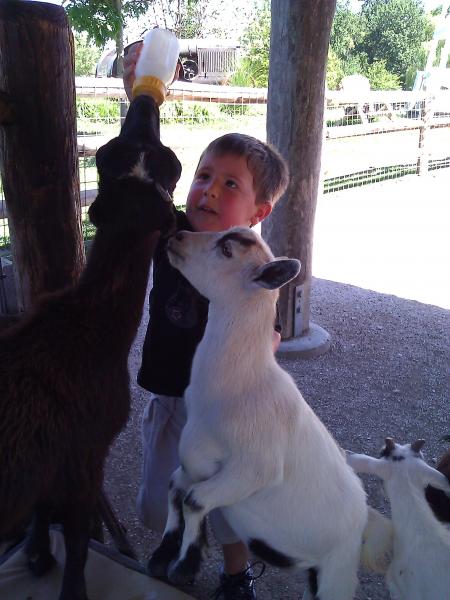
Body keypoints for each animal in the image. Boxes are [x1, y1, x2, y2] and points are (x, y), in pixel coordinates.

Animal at [0, 95, 181, 600]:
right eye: (172, 164)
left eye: (112, 153)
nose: (143, 101)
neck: (90, 333)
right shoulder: (87, 453)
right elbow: (79, 540)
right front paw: (68, 581)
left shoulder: (53, 462)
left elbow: (44, 511)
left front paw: (38, 555)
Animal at [148, 226, 390, 600]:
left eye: (227, 250)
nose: (177, 236)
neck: (236, 387)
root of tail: (365, 517)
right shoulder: (197, 463)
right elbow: (176, 488)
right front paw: (164, 555)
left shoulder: (253, 469)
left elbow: (195, 501)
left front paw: (183, 566)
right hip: (317, 575)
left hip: (338, 570)